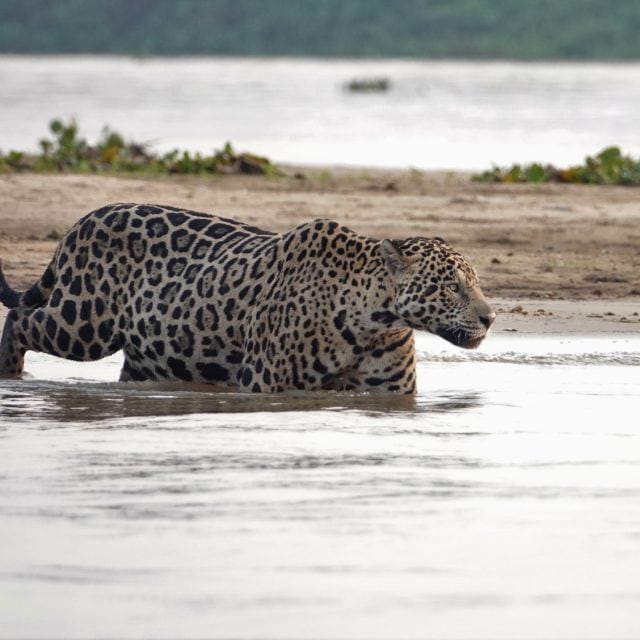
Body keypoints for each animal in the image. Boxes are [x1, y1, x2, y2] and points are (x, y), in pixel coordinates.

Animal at [0, 203, 495, 393]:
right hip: (84, 324)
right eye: (452, 285)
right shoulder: (263, 381)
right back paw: (12, 374)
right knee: (20, 319)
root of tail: (85, 217)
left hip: (149, 355)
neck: (375, 321)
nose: (490, 317)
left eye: (476, 282)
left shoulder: (392, 391)